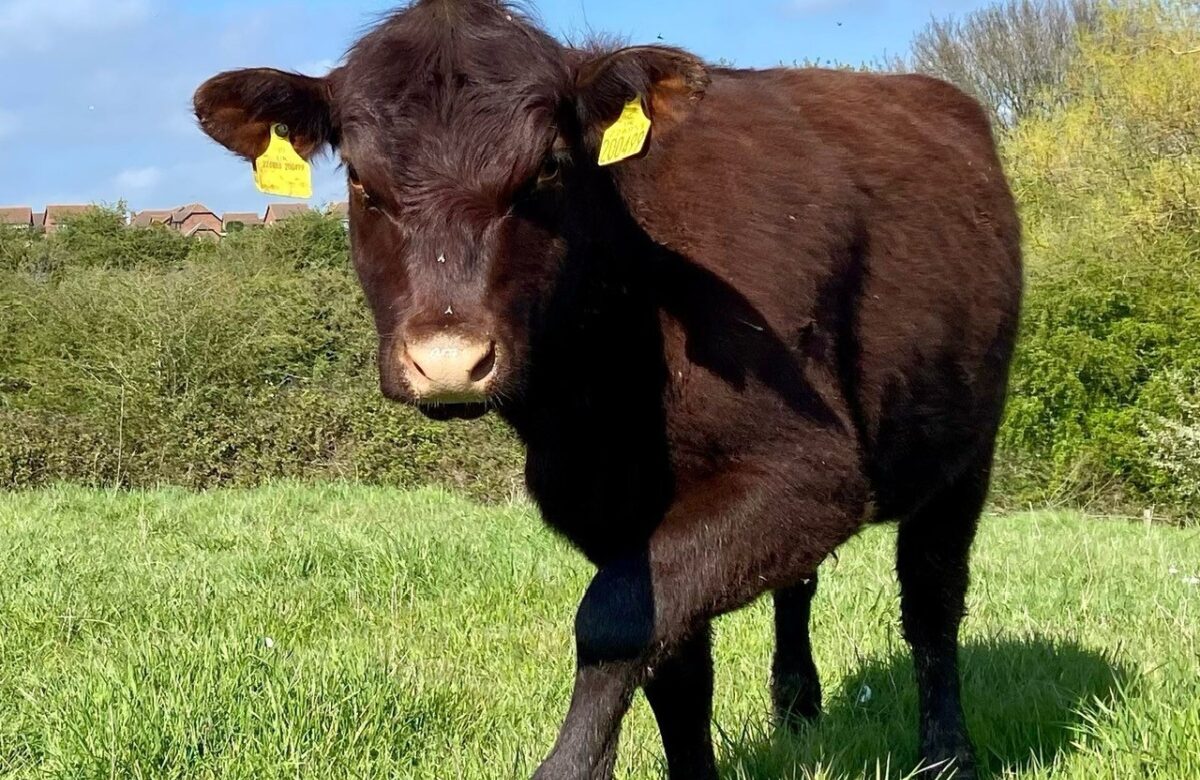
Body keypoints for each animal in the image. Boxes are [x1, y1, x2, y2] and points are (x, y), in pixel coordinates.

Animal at [194, 1, 1022, 777]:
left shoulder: (809, 474)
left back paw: (947, 754)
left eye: (548, 169)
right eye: (362, 182)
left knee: (932, 597)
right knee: (802, 588)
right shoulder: (601, 498)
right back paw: (796, 704)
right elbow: (676, 664)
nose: (450, 359)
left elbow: (616, 618)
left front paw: (571, 763)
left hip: (966, 443)